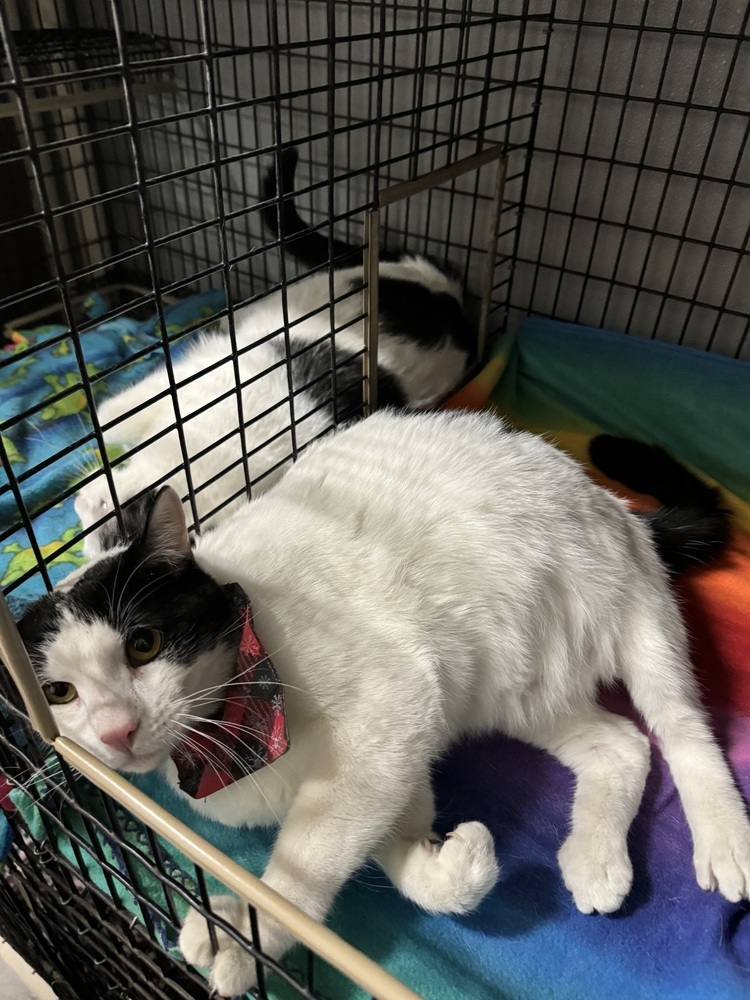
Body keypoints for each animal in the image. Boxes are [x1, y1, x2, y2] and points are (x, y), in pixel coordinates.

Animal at [17, 412, 750, 1000]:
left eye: (143, 644)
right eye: (59, 692)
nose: (117, 730)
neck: (230, 726)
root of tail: (612, 504)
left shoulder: (391, 709)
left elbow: (307, 861)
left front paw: (249, 938)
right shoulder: (399, 751)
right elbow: (388, 835)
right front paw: (447, 867)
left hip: (643, 620)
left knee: (681, 728)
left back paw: (726, 839)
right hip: (516, 689)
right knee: (621, 743)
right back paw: (596, 860)